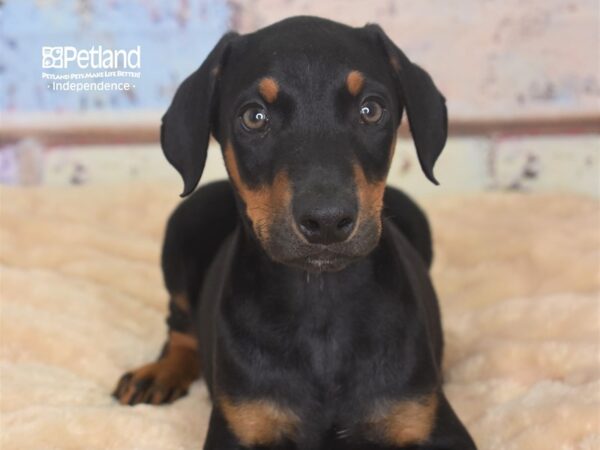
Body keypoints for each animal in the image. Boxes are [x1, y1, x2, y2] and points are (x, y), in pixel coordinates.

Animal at [113, 15, 478, 448]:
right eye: (254, 117)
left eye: (371, 109)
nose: (327, 221)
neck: (320, 301)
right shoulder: (240, 426)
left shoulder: (428, 419)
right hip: (184, 221)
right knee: (180, 328)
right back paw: (158, 373)